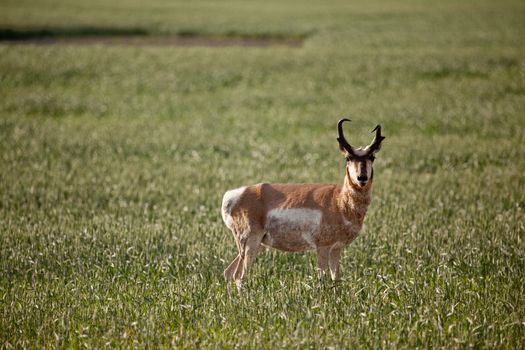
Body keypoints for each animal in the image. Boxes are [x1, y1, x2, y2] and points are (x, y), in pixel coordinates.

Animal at [221, 119, 384, 286]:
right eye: (348, 157)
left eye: (372, 157)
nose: (362, 178)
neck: (338, 200)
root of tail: (234, 195)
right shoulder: (322, 247)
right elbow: (321, 278)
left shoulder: (336, 249)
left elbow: (336, 279)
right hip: (250, 244)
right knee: (239, 276)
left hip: (257, 245)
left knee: (228, 272)